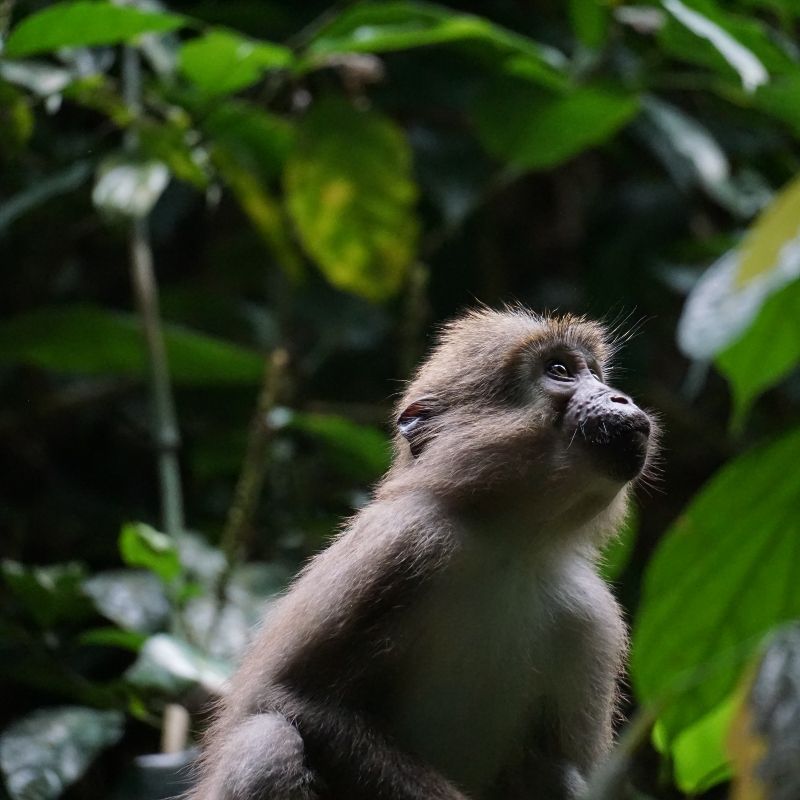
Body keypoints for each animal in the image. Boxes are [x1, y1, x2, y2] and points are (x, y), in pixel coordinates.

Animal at [189, 306, 657, 800]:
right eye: (561, 370)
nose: (620, 398)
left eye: (596, 374)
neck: (513, 544)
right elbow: (289, 697)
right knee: (268, 740)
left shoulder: (592, 616)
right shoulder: (405, 540)